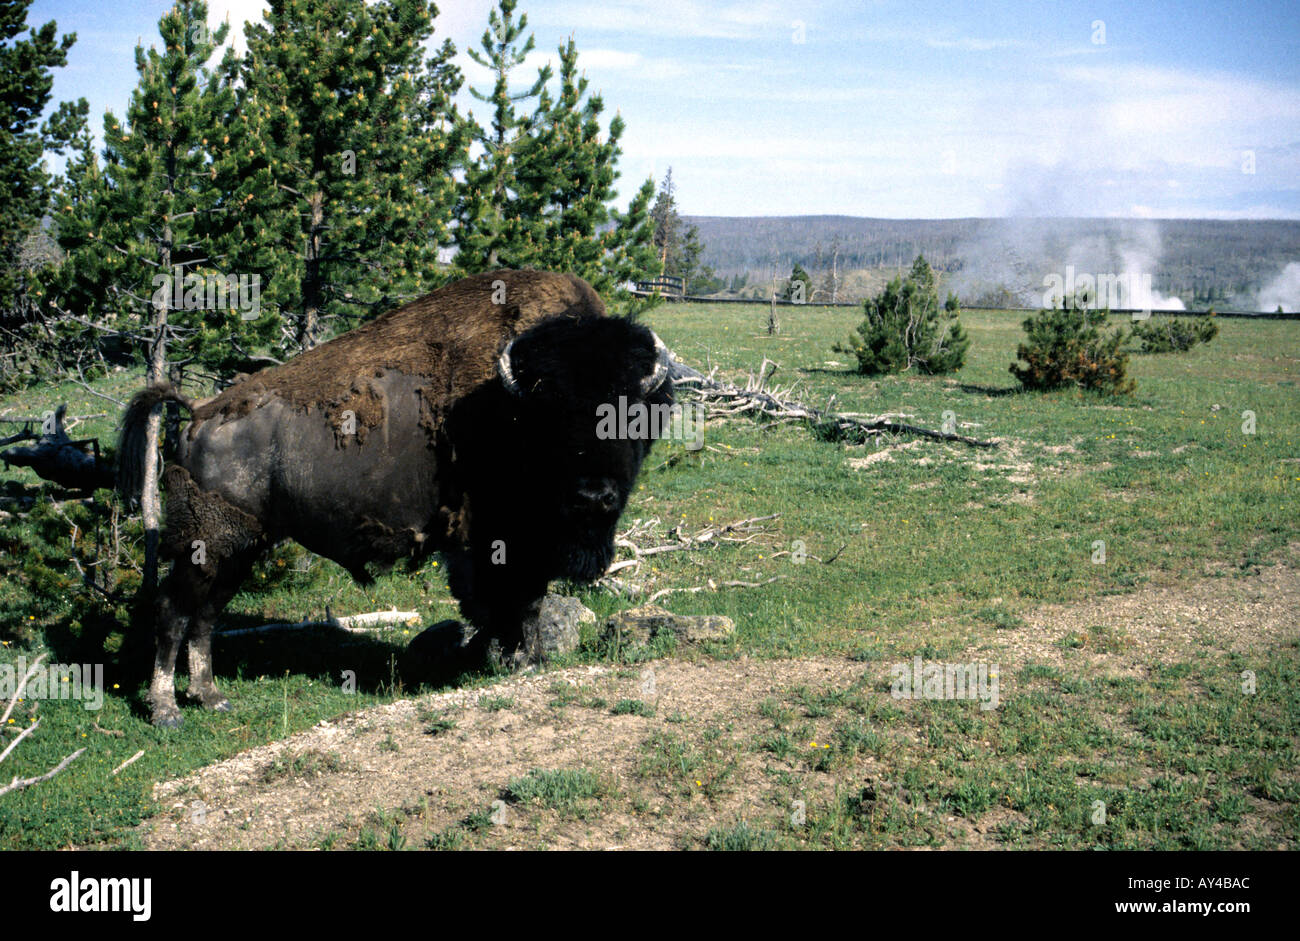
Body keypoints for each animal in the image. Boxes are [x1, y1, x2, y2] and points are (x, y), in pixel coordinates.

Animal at [118, 270, 673, 727]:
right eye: (550, 415)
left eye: (629, 411)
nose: (594, 496)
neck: (505, 405)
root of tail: (199, 411)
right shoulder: (493, 546)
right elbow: (506, 604)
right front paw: (510, 661)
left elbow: (528, 604)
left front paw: (523, 660)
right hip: (206, 546)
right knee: (173, 611)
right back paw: (167, 710)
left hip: (241, 547)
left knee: (205, 615)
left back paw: (212, 697)